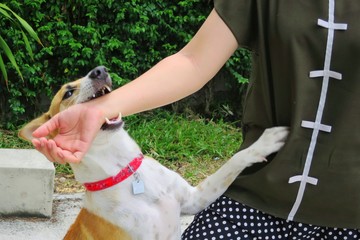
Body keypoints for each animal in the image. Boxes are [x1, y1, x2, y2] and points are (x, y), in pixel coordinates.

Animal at [19, 66, 290, 240]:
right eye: (68, 92)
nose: (99, 70)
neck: (125, 171)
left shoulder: (196, 198)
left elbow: (231, 163)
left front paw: (263, 143)